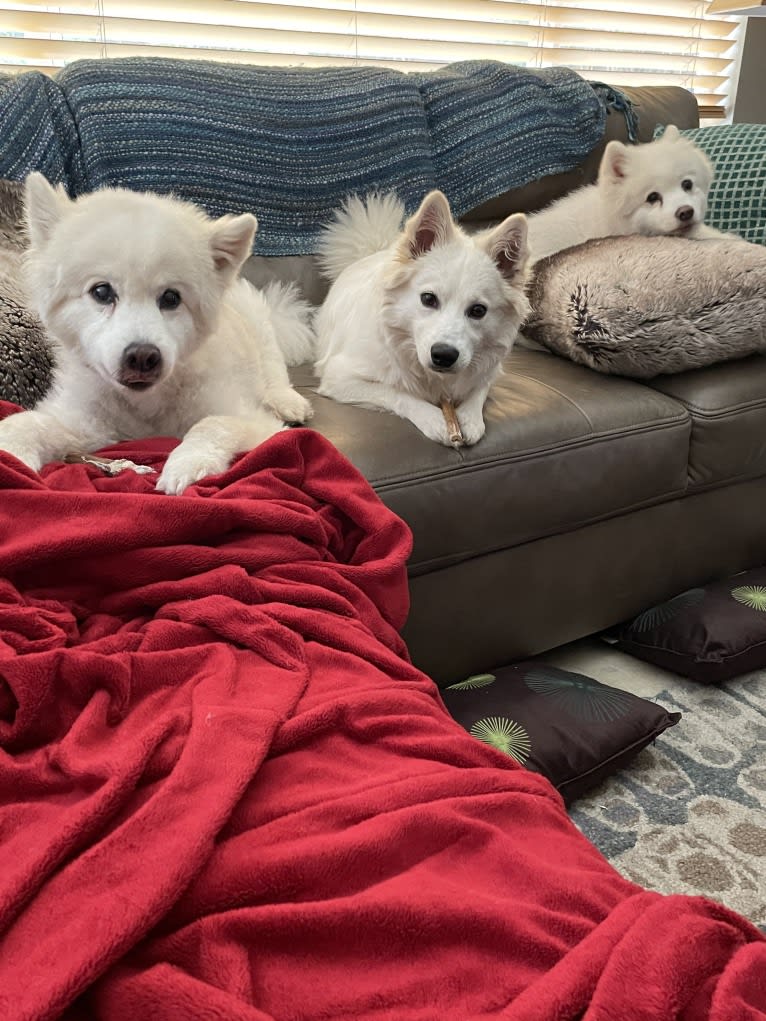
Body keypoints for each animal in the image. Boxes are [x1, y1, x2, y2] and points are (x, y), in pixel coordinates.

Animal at [0, 173, 314, 492]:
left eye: (171, 298)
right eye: (101, 292)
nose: (142, 356)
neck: (148, 405)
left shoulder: (257, 424)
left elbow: (213, 424)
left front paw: (188, 464)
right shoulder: (87, 424)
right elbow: (28, 423)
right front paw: (11, 455)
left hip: (256, 315)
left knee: (272, 364)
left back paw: (287, 401)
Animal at [314, 191, 531, 447]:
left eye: (478, 310)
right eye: (428, 299)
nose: (444, 356)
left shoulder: (490, 371)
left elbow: (479, 390)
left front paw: (470, 419)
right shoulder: (339, 377)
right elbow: (397, 393)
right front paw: (434, 419)